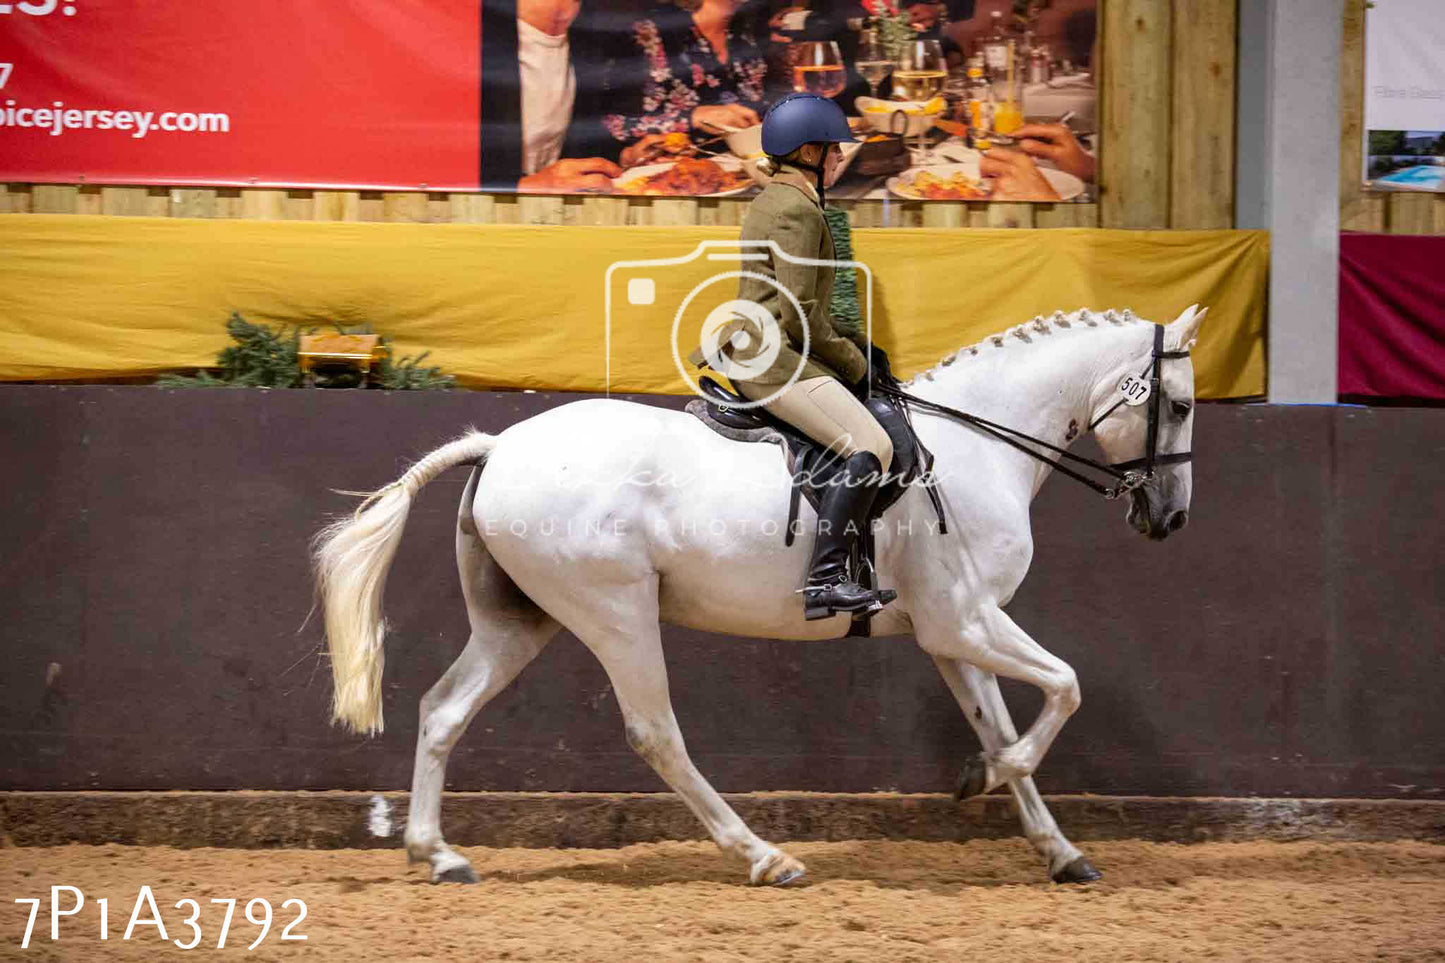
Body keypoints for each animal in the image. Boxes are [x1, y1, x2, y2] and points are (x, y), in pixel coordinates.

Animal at [316, 303, 1208, 879]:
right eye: (1177, 404)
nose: (1168, 516)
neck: (977, 444)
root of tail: (499, 445)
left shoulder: (955, 631)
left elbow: (1002, 721)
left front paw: (1058, 849)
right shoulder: (963, 620)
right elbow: (1063, 688)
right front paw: (983, 779)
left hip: (519, 621)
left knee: (443, 709)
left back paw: (436, 853)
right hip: (614, 613)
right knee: (655, 733)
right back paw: (763, 855)